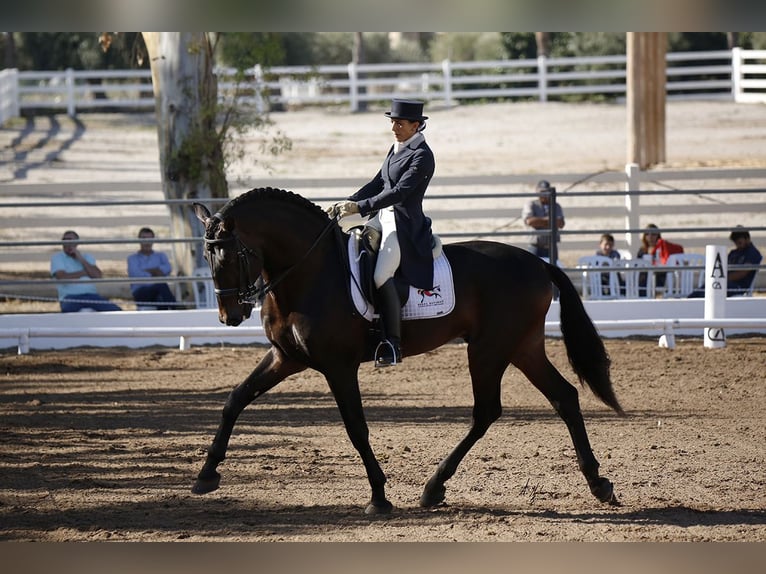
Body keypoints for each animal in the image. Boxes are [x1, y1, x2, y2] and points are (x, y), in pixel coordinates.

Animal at [190, 189, 624, 516]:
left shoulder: (338, 366)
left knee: (488, 411)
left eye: (231, 255)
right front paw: (206, 475)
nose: (230, 316)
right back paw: (598, 483)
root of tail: (538, 262)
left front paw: (379, 498)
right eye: (208, 257)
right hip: (522, 346)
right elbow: (235, 400)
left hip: (490, 348)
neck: (310, 274)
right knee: (563, 396)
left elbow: (356, 428)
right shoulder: (286, 358)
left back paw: (433, 486)